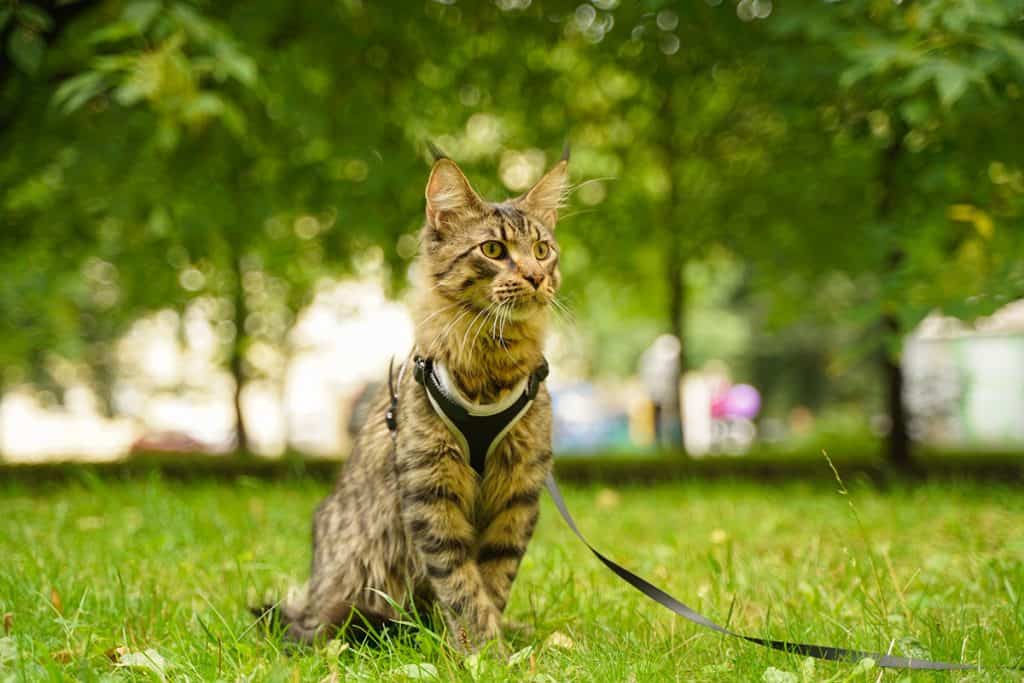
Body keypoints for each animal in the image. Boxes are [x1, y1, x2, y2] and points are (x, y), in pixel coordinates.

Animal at [260, 148, 573, 651]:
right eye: (493, 250)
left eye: (543, 250)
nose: (536, 275)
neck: (492, 360)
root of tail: (305, 609)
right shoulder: (431, 489)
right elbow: (462, 586)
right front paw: (484, 652)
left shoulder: (518, 491)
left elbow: (493, 581)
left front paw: (491, 644)